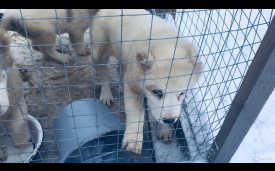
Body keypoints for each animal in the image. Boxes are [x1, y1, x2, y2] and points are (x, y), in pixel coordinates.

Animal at [91, 9, 204, 154]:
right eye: (157, 92)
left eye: (182, 94)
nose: (170, 120)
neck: (165, 44)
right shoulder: (133, 85)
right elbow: (136, 113)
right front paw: (133, 140)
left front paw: (165, 130)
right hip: (99, 51)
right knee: (103, 72)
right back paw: (106, 94)